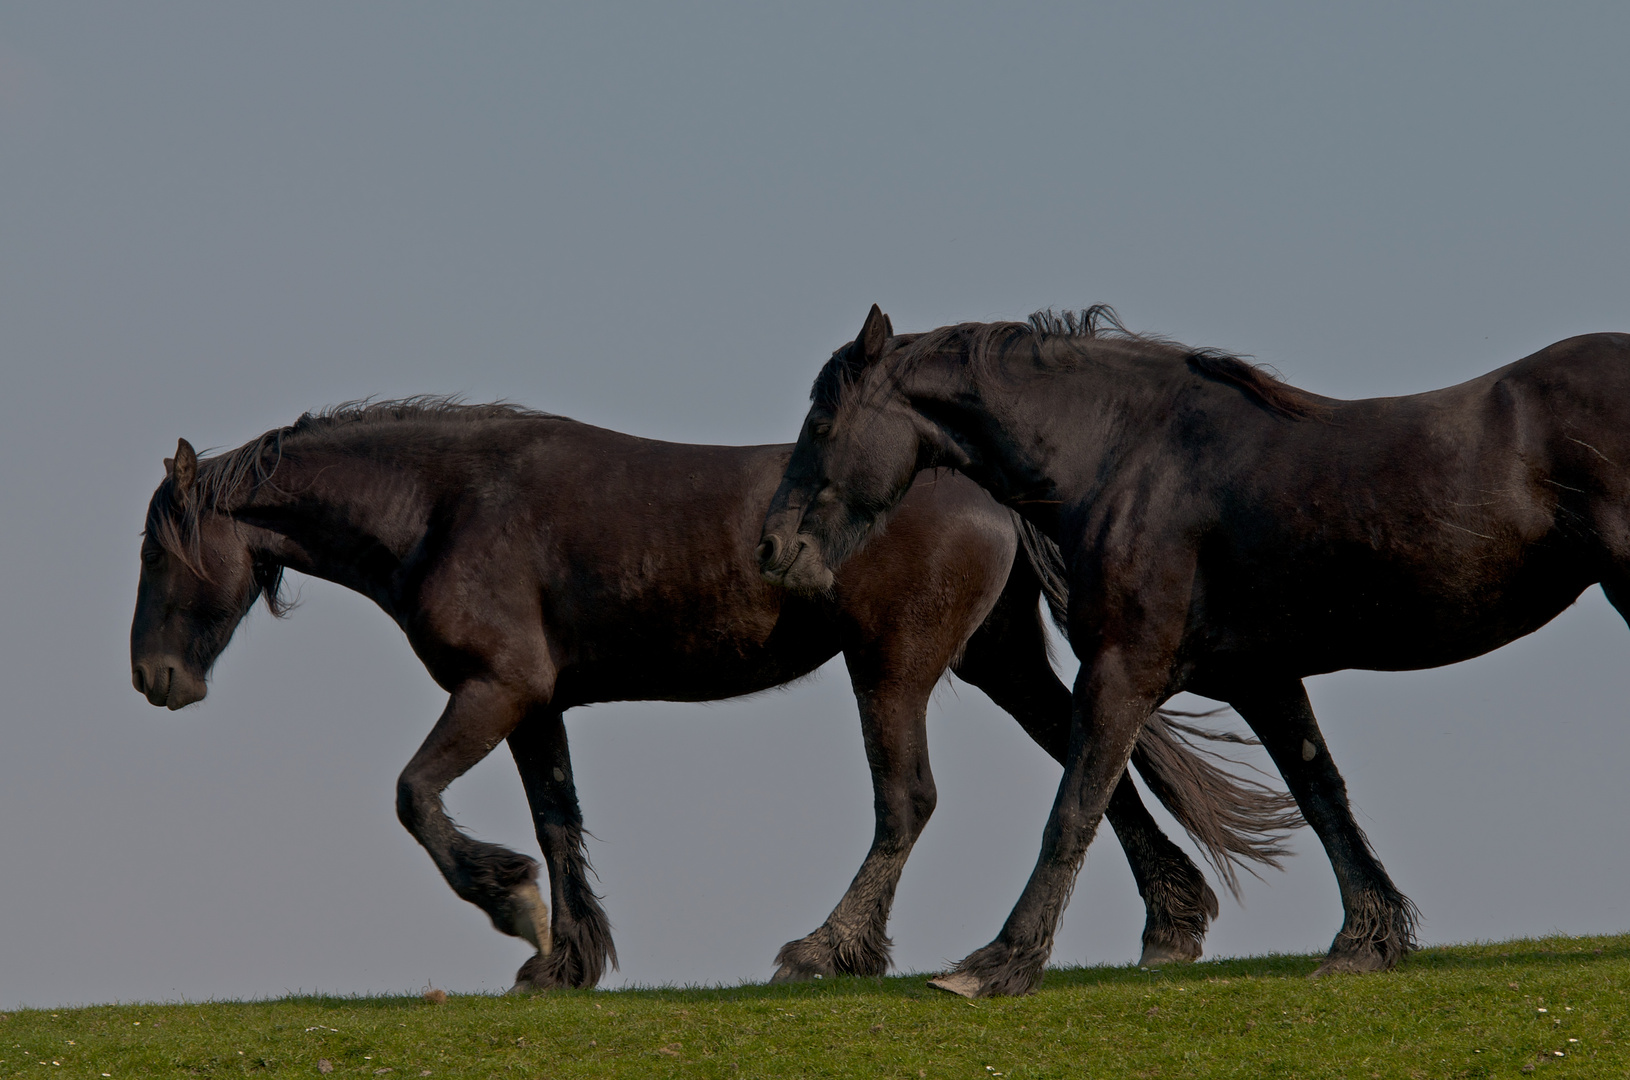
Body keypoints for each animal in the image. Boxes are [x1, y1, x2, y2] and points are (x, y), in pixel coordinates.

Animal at [130, 400, 1297, 990]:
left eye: (154, 549)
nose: (155, 679)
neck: (446, 505)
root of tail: (984, 489)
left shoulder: (492, 689)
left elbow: (418, 798)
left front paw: (510, 907)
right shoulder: (536, 703)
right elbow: (557, 820)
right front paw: (565, 958)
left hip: (892, 668)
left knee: (910, 802)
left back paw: (827, 951)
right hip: (995, 662)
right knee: (1093, 767)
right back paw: (1171, 921)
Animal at [759, 304, 1630, 996]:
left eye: (821, 424)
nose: (774, 548)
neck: (1128, 457)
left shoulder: (1122, 670)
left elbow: (1076, 807)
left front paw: (997, 964)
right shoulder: (1262, 678)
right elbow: (1322, 795)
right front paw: (1366, 941)